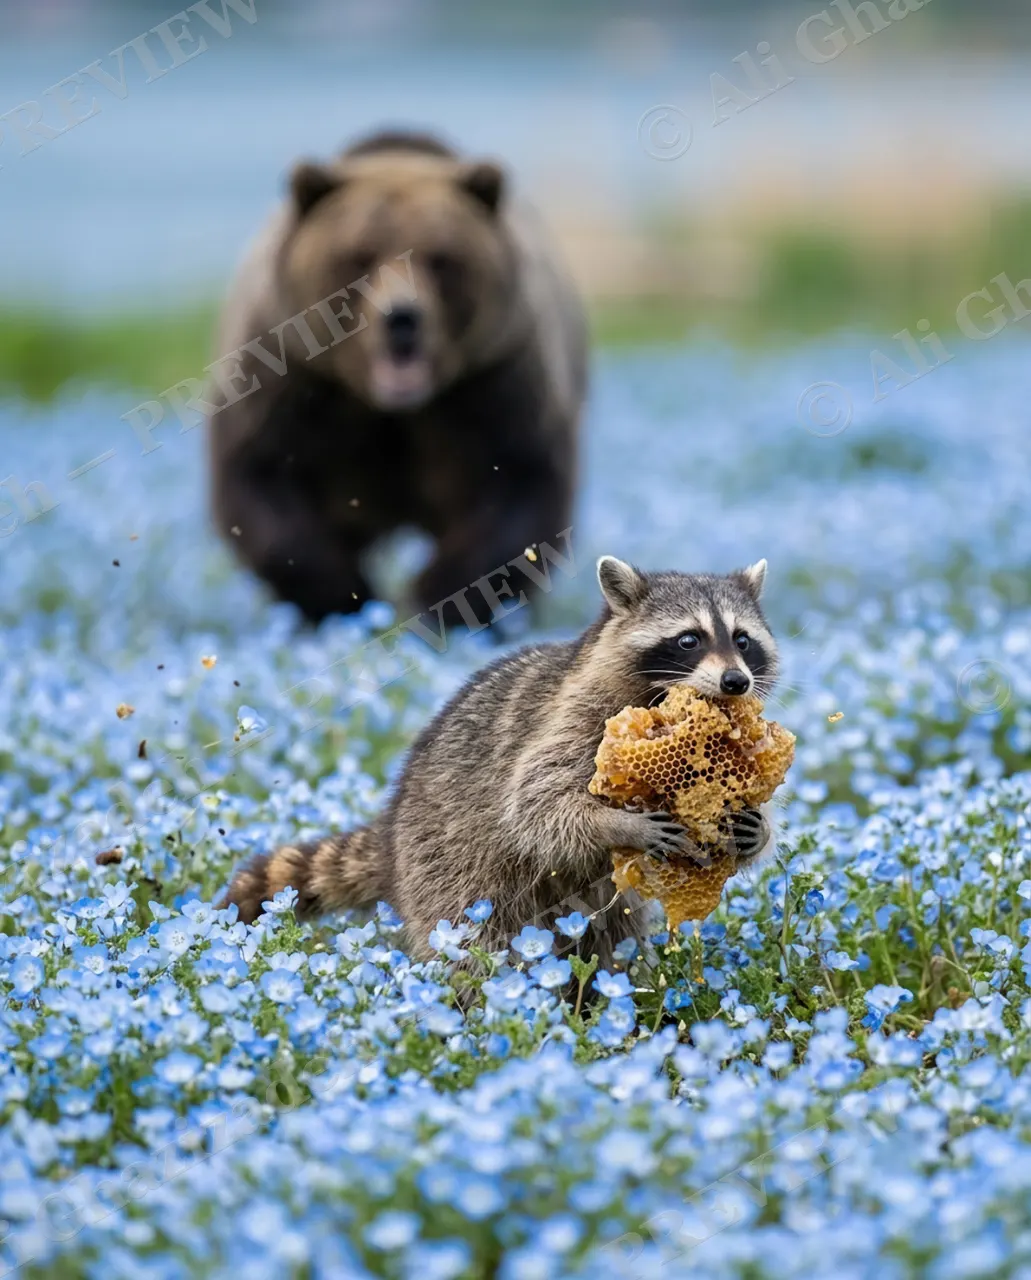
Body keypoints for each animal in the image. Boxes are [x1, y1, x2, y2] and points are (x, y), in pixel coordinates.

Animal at [222, 556, 780, 965]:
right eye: (689, 639)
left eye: (743, 640)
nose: (736, 681)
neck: (663, 699)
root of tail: (391, 835)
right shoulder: (575, 719)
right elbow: (539, 804)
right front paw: (620, 824)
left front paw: (756, 828)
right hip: (447, 869)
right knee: (472, 945)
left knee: (608, 937)